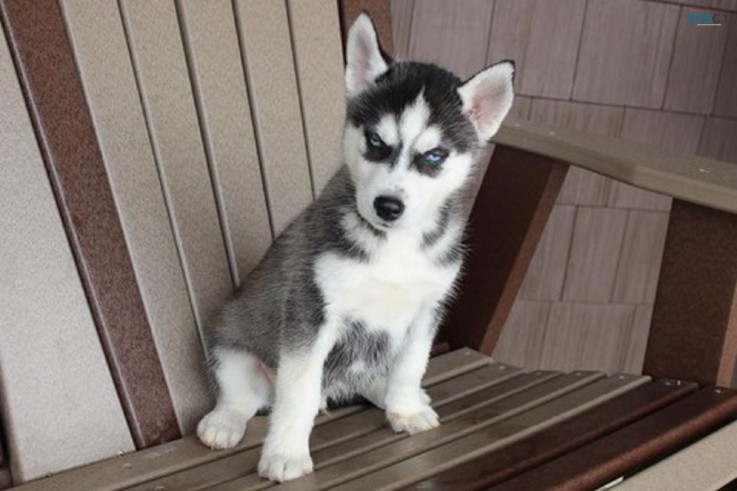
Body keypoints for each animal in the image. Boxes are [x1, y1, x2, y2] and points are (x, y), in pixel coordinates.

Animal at [198, 12, 516, 484]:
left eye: (434, 156)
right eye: (376, 142)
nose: (388, 206)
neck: (394, 247)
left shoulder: (427, 309)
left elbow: (410, 365)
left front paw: (405, 409)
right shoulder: (311, 312)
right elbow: (297, 393)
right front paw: (286, 454)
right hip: (231, 344)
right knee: (243, 396)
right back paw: (224, 422)